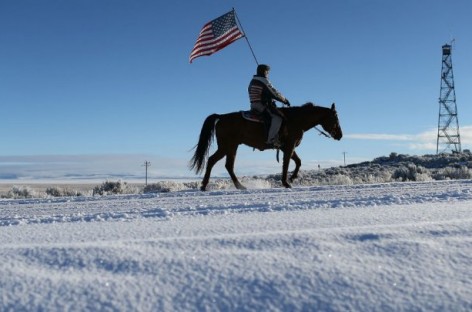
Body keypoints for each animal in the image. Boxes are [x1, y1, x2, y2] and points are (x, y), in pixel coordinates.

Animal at [189, 102, 342, 190]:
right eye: (335, 118)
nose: (340, 135)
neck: (296, 120)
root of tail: (222, 116)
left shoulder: (286, 147)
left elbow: (298, 162)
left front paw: (292, 178)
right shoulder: (289, 146)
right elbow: (287, 164)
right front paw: (286, 182)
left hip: (231, 147)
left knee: (226, 165)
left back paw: (238, 186)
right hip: (227, 146)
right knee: (214, 161)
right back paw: (206, 185)